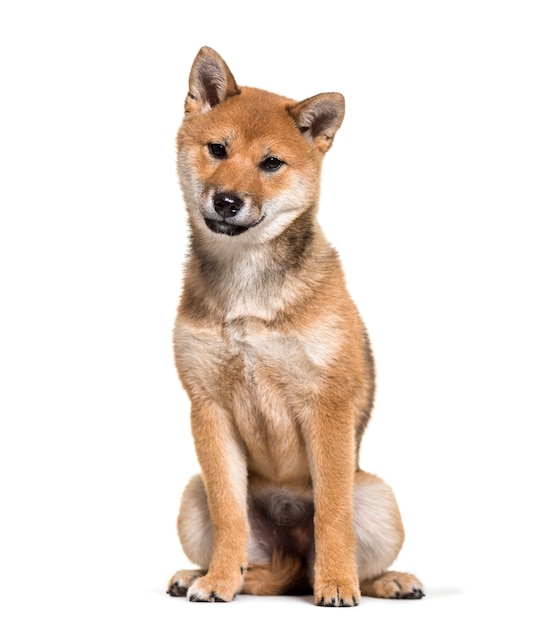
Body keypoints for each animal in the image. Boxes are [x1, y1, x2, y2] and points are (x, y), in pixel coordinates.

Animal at [168, 46, 422, 604]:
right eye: (217, 149)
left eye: (271, 163)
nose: (226, 201)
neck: (248, 287)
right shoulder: (208, 407)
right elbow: (229, 514)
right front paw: (217, 581)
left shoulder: (326, 404)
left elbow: (332, 513)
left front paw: (337, 584)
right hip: (191, 496)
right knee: (258, 564)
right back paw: (202, 574)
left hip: (378, 496)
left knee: (348, 556)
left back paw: (385, 580)